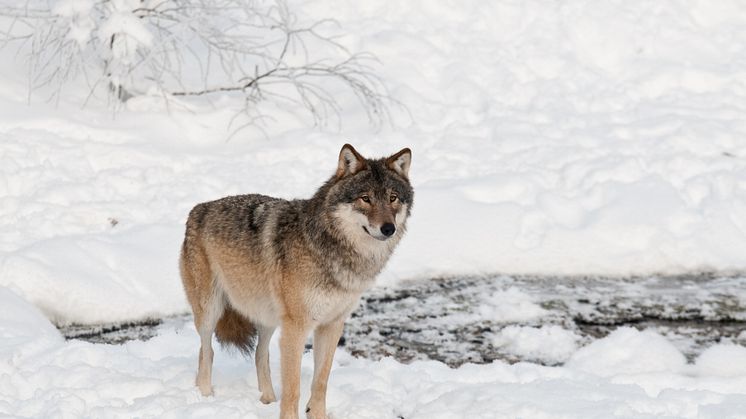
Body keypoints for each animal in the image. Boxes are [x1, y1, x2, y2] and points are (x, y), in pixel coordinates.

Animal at [180, 143, 412, 418]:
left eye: (392, 198)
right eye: (365, 198)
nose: (388, 228)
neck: (331, 250)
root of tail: (198, 209)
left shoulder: (332, 325)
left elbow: (320, 382)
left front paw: (317, 414)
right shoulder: (296, 328)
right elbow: (293, 389)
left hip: (268, 318)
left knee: (260, 354)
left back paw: (267, 400)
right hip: (210, 313)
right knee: (206, 352)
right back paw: (205, 398)